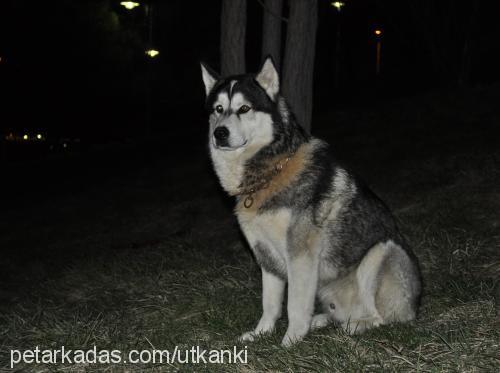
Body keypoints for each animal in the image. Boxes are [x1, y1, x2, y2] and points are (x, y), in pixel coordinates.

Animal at [199, 58, 422, 346]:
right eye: (218, 109)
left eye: (244, 108)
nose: (219, 133)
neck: (271, 171)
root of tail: (415, 307)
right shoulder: (266, 256)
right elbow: (270, 304)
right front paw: (261, 333)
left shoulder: (301, 256)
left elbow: (294, 305)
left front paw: (290, 341)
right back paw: (323, 321)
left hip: (382, 252)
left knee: (380, 318)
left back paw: (354, 327)